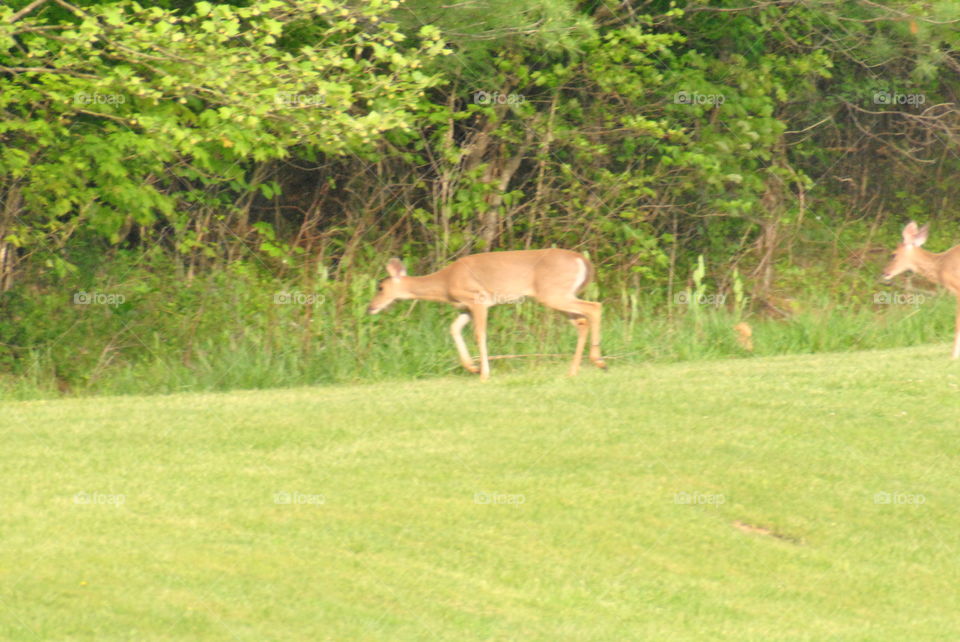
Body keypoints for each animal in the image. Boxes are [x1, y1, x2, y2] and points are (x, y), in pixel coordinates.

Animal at [366, 249, 607, 380]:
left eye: (380, 287)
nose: (370, 307)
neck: (445, 283)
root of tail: (583, 260)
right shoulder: (465, 307)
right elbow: (453, 329)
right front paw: (472, 367)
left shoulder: (478, 299)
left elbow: (479, 335)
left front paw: (483, 373)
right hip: (558, 297)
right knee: (582, 321)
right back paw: (573, 371)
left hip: (554, 293)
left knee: (594, 306)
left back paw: (598, 361)